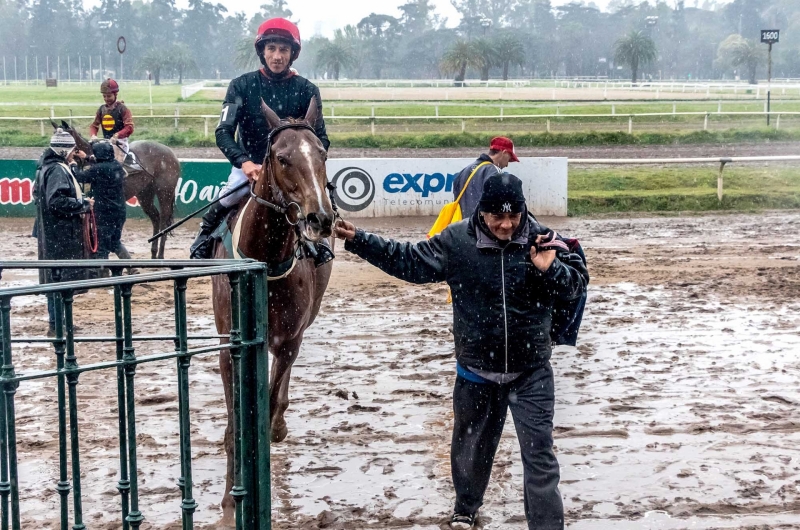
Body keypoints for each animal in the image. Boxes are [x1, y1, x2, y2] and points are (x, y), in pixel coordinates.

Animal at [59, 121, 180, 258]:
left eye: (67, 142)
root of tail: (171, 153)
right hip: (145, 194)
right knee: (155, 217)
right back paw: (153, 253)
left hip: (165, 192)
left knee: (164, 219)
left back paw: (160, 255)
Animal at [209, 99, 334, 524]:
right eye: (282, 157)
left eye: (322, 153)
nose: (320, 218)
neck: (264, 264)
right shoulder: (229, 348)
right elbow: (236, 422)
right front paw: (230, 501)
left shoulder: (288, 338)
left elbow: (266, 402)